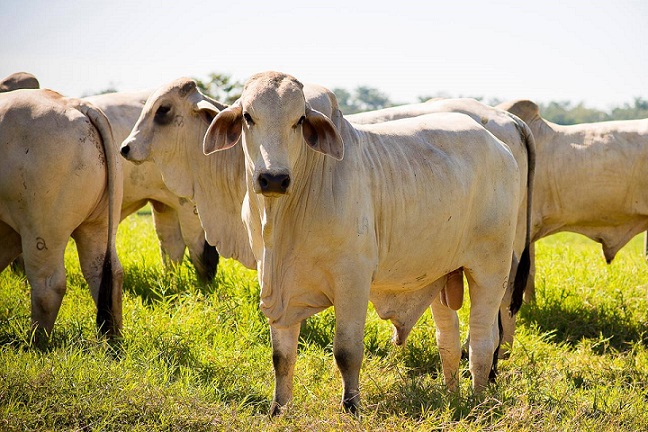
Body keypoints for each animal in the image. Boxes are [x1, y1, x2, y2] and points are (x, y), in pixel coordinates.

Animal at [0, 89, 123, 346]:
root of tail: (76, 104)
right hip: (99, 226)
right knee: (107, 274)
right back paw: (113, 341)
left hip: (42, 231)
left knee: (48, 286)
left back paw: (36, 345)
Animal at [205, 71, 524, 416]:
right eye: (248, 117)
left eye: (299, 119)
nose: (273, 178)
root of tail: (499, 145)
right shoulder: (274, 284)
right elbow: (282, 356)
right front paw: (279, 408)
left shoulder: (352, 280)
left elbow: (346, 351)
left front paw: (352, 406)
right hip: (440, 273)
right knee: (448, 340)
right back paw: (452, 396)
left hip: (490, 268)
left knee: (482, 340)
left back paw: (479, 399)